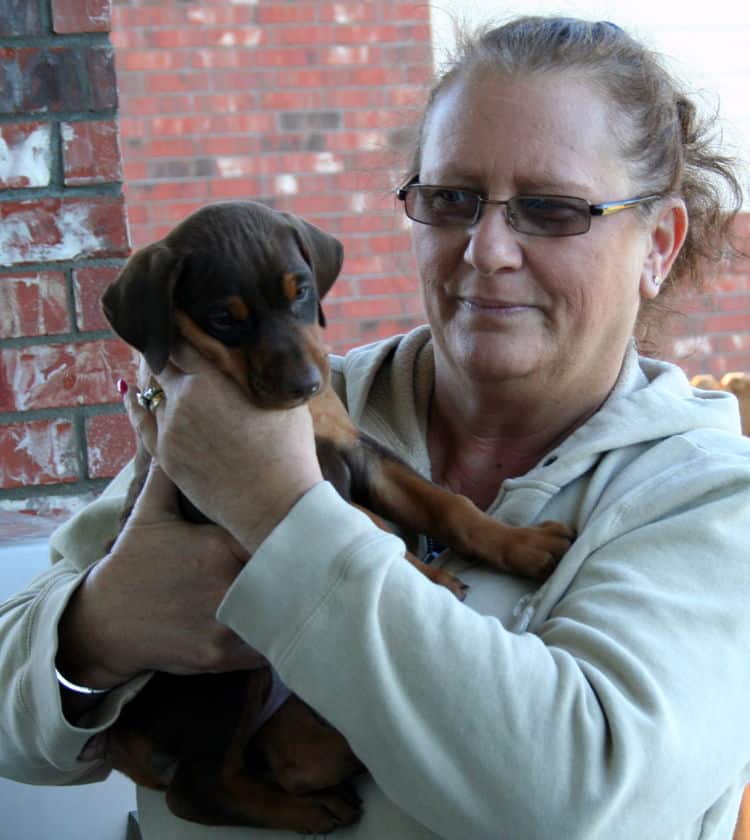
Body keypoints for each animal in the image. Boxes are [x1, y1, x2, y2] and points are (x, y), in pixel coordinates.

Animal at [101, 199, 576, 832]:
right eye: (224, 319)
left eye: (301, 291)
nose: (305, 385)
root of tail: (119, 740)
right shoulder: (218, 497)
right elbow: (362, 521)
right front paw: (424, 574)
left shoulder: (358, 452)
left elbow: (446, 505)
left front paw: (522, 542)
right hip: (214, 673)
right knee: (199, 787)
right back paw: (309, 811)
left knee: (270, 758)